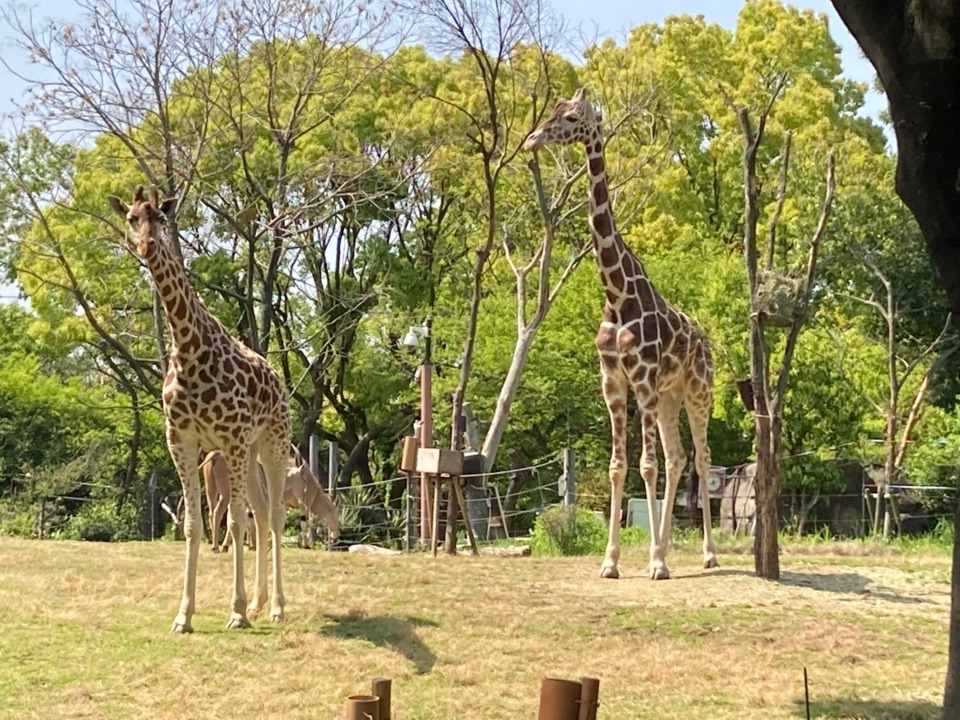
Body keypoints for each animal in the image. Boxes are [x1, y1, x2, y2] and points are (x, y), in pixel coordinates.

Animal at [106, 184, 290, 632]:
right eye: (131, 218)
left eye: (160, 217)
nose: (147, 245)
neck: (189, 349)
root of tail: (278, 382)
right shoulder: (182, 440)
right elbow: (193, 525)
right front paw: (184, 615)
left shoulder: (233, 439)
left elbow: (236, 519)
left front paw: (236, 612)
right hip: (251, 451)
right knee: (262, 511)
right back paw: (260, 603)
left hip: (273, 441)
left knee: (275, 512)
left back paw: (276, 607)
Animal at [524, 88, 720, 580]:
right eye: (553, 112)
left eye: (571, 117)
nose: (531, 139)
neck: (616, 294)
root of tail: (705, 340)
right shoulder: (613, 380)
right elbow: (618, 466)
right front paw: (612, 561)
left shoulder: (643, 379)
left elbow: (646, 467)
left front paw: (656, 563)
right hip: (668, 397)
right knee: (678, 457)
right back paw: (664, 545)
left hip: (696, 391)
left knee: (700, 458)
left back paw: (706, 554)